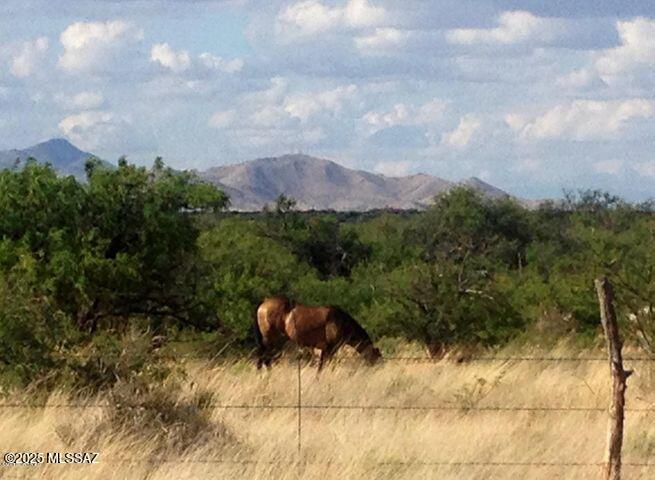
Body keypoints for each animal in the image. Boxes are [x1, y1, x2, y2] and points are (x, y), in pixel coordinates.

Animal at [253, 297, 382, 371]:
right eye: (375, 358)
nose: (375, 370)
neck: (341, 321)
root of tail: (264, 303)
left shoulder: (324, 350)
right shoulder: (328, 349)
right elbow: (322, 367)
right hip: (269, 340)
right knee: (265, 358)